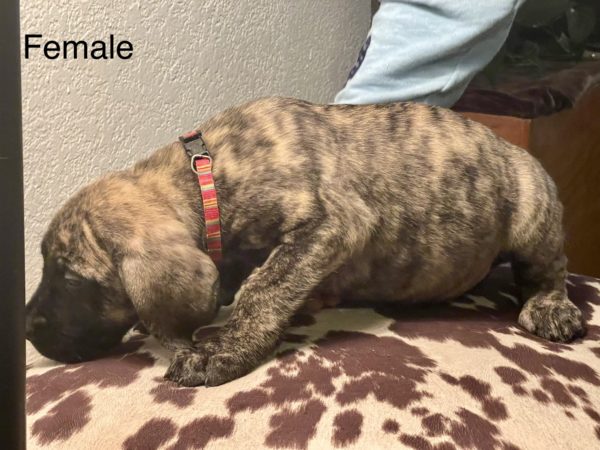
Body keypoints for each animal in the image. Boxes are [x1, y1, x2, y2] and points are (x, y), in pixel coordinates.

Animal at [26, 97, 585, 386]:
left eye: (71, 278)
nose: (29, 329)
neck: (207, 176)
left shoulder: (331, 222)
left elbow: (264, 287)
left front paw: (222, 348)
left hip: (532, 205)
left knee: (549, 269)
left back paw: (550, 307)